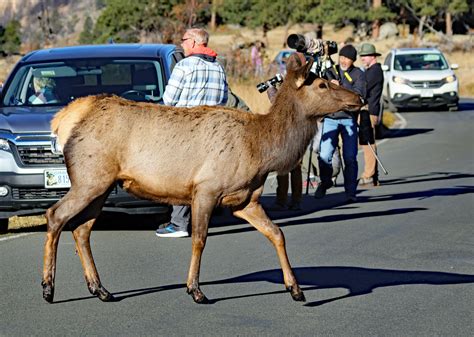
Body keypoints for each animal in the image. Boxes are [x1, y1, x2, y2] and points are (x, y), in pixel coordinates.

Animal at [42, 54, 362, 302]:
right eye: (322, 84)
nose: (357, 97)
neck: (261, 150)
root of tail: (63, 120)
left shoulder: (245, 200)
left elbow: (276, 234)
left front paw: (295, 288)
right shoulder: (206, 189)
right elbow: (199, 239)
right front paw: (195, 290)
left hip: (103, 184)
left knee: (82, 228)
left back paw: (100, 289)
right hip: (89, 178)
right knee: (56, 215)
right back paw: (48, 288)